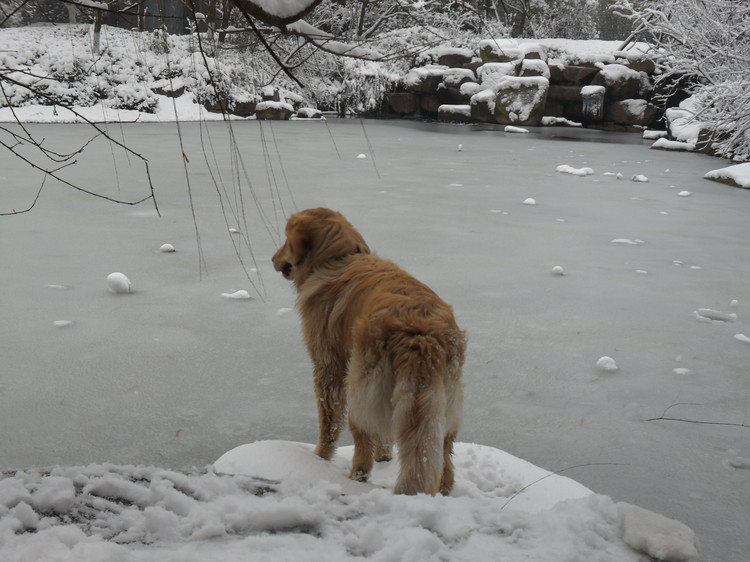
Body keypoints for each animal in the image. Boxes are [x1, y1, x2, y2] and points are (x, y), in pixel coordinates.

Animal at [274, 208, 468, 492]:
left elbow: (329, 421)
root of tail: (420, 335)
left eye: (287, 239)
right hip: (442, 406)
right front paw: (385, 457)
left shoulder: (328, 365)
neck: (338, 258)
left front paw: (319, 457)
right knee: (445, 462)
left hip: (361, 393)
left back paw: (354, 480)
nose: (273, 259)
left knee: (363, 447)